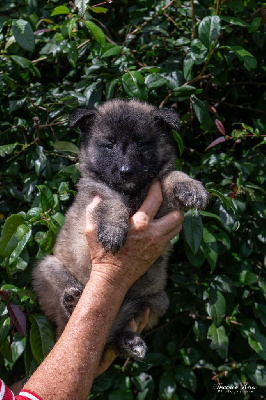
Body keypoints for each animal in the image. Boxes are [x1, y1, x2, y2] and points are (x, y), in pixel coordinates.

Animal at [32, 99, 208, 360]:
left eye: (141, 143)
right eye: (109, 145)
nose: (126, 171)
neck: (131, 192)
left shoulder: (161, 201)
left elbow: (170, 175)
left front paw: (192, 187)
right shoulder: (97, 194)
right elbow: (112, 203)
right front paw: (114, 230)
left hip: (157, 300)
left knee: (116, 331)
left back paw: (129, 341)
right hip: (48, 269)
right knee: (66, 320)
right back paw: (71, 302)